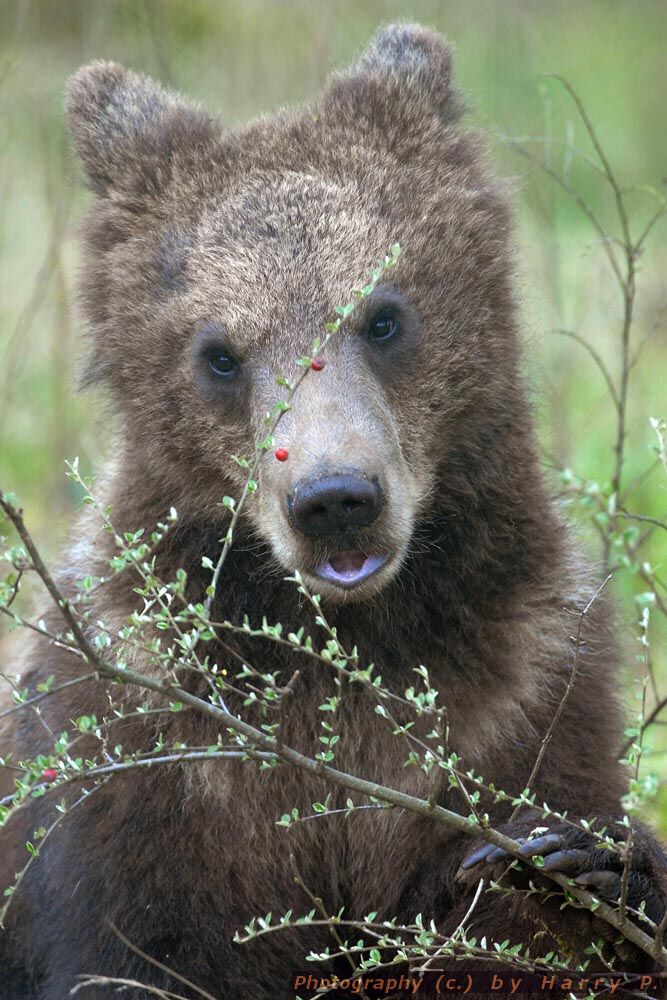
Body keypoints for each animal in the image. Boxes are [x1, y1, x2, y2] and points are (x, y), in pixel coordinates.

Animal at [1, 19, 667, 996]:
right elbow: (139, 948)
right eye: (219, 353)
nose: (335, 498)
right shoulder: (153, 766)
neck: (354, 637)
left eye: (383, 315)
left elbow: (523, 903)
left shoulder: (522, 702)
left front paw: (581, 860)